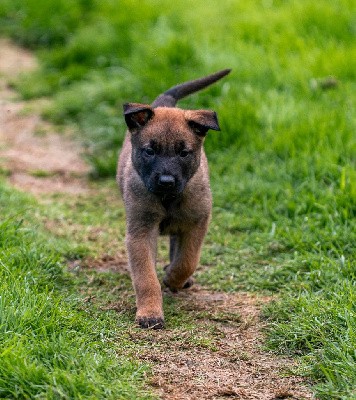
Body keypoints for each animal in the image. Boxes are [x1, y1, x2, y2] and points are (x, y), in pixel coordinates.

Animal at [117, 69, 231, 328]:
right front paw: (150, 312)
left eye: (183, 153)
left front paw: (173, 278)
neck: (167, 198)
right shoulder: (140, 231)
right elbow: (146, 277)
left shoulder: (197, 222)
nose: (166, 181)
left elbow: (188, 260)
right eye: (150, 151)